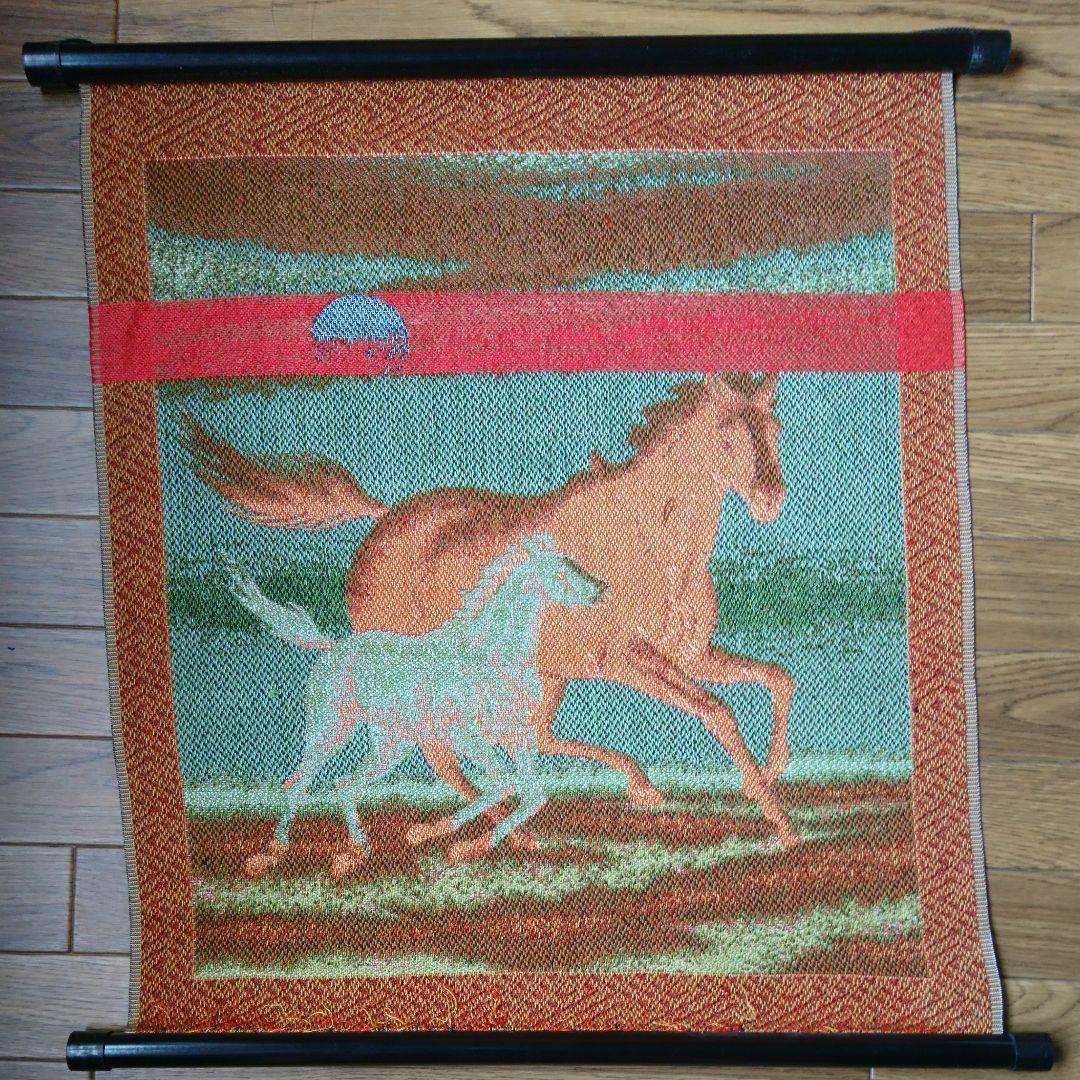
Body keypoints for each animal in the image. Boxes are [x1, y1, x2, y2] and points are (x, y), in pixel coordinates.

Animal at [228, 533, 605, 879]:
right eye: (559, 572)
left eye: (576, 563)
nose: (601, 589)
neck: (492, 655)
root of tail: (332, 648)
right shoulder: (463, 734)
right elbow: (502, 785)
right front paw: (432, 836)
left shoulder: (518, 734)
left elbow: (534, 795)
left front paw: (466, 844)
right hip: (331, 730)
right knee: (300, 782)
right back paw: (270, 855)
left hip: (392, 744)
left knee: (345, 784)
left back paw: (353, 854)